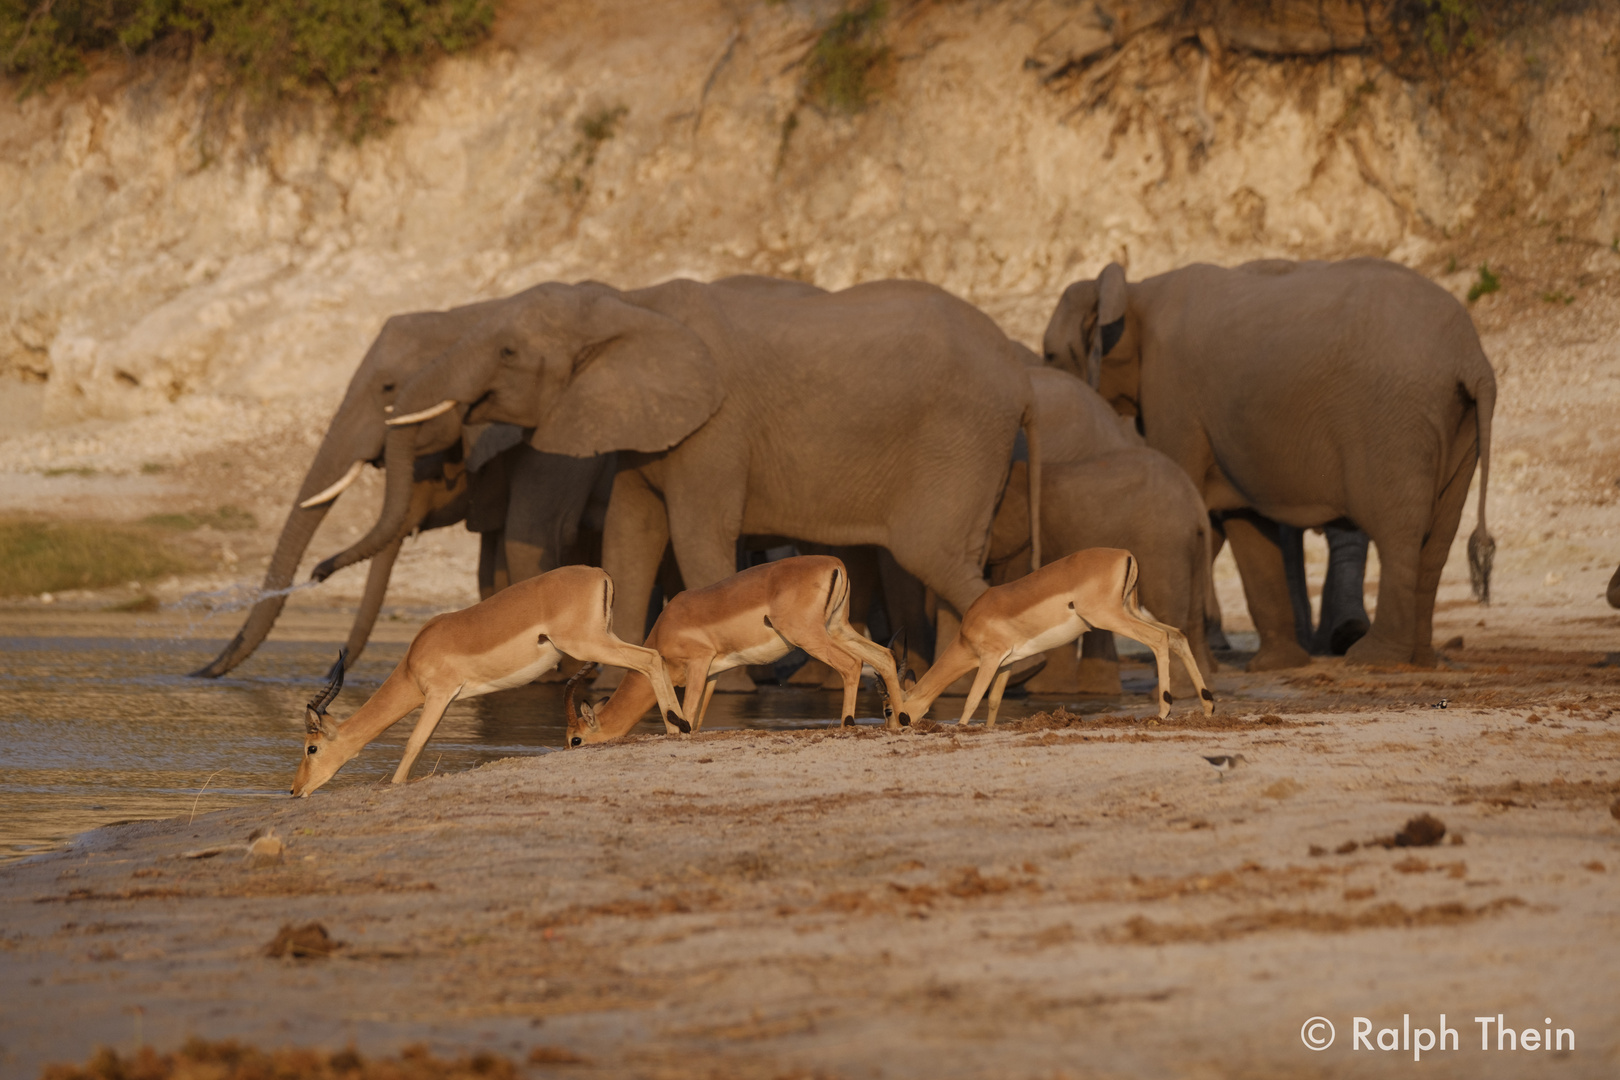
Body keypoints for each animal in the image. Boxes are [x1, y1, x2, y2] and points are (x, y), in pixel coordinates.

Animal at [325, 278, 1036, 680]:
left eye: (507, 352)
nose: (319, 570)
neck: (632, 308)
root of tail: (1018, 367)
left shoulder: (717, 427)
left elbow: (696, 541)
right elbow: (629, 542)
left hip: (959, 439)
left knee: (934, 555)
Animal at [1043, 257, 1496, 670]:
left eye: (1048, 354)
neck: (1136, 292)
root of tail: (1473, 359)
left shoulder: (1171, 395)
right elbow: (1245, 522)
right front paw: (1276, 666)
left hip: (1394, 418)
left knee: (1398, 529)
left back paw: (1374, 658)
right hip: (1455, 422)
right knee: (1439, 536)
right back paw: (1422, 659)